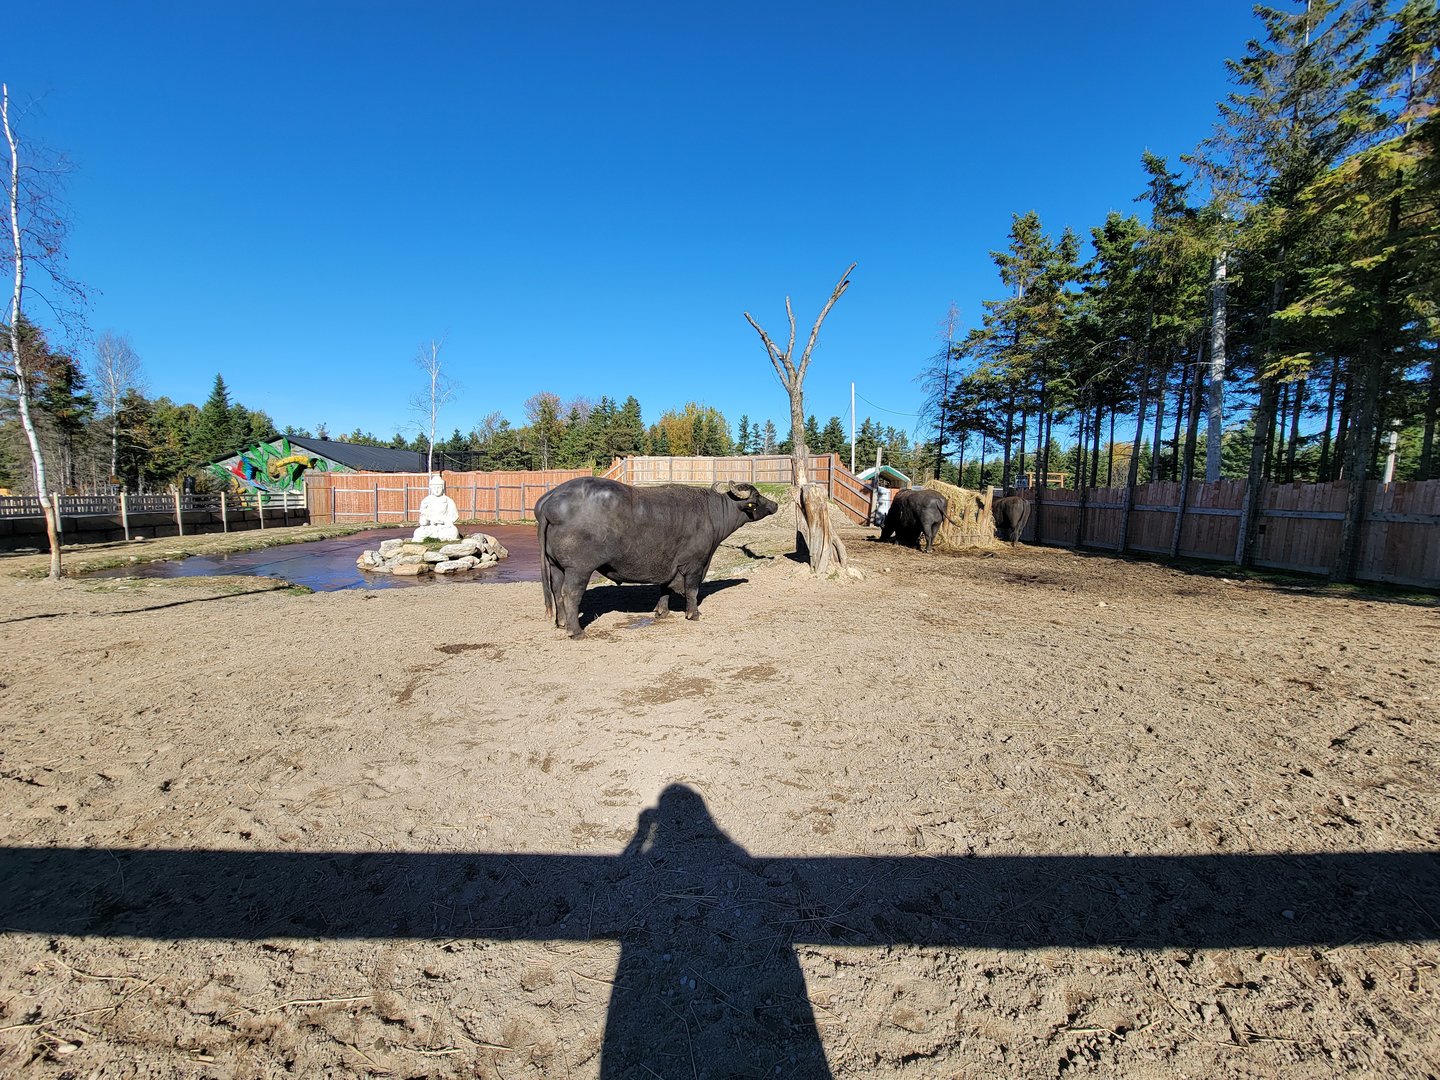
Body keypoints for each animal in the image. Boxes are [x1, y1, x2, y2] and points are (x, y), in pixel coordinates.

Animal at [536, 477, 779, 639]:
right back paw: (576, 631)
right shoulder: (695, 564)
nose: (775, 504)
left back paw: (561, 622)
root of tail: (549, 502)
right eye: (757, 496)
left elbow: (665, 587)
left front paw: (661, 611)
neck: (711, 513)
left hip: (556, 566)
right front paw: (694, 613)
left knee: (556, 591)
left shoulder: (668, 564)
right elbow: (692, 590)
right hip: (578, 569)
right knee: (570, 594)